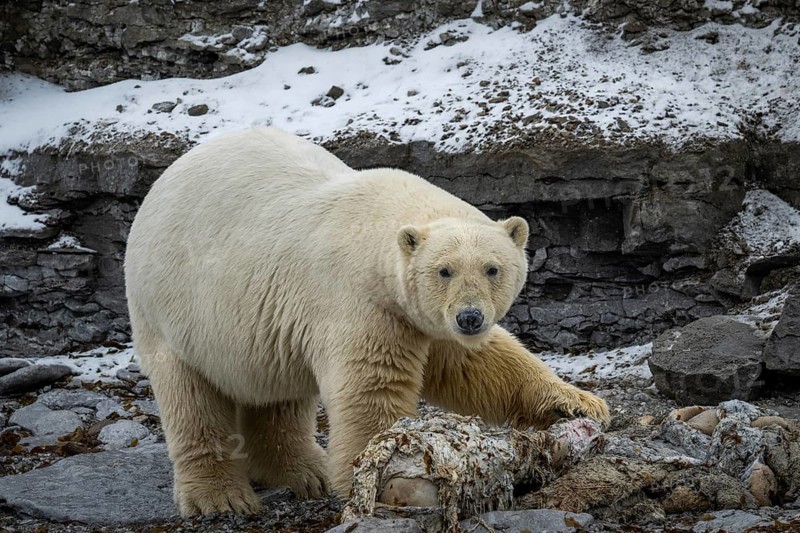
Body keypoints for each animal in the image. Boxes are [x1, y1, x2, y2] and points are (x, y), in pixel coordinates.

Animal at [124, 127, 609, 516]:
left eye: (492, 268)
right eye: (444, 270)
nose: (470, 317)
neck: (378, 229)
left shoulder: (425, 318)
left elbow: (481, 366)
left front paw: (577, 403)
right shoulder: (359, 301)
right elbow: (373, 388)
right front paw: (388, 477)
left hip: (259, 325)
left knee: (278, 394)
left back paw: (305, 472)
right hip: (170, 308)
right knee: (190, 397)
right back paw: (222, 496)